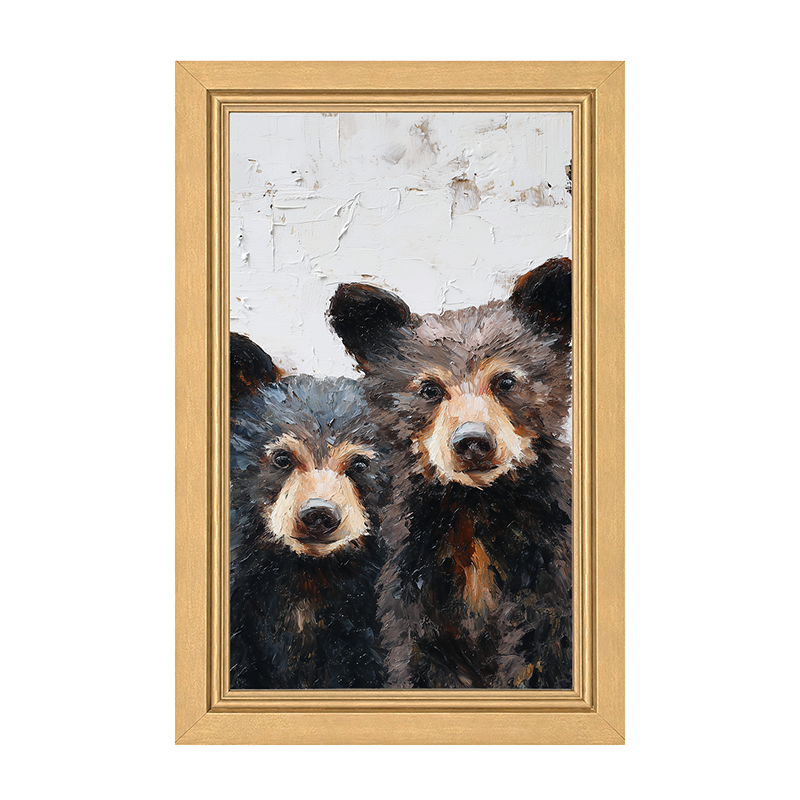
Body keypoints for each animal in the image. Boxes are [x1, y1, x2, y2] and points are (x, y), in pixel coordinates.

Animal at [328, 257, 573, 689]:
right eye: (429, 389)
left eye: (506, 380)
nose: (472, 441)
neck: (475, 508)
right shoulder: (416, 583)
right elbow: (419, 659)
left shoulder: (548, 569)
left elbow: (540, 653)